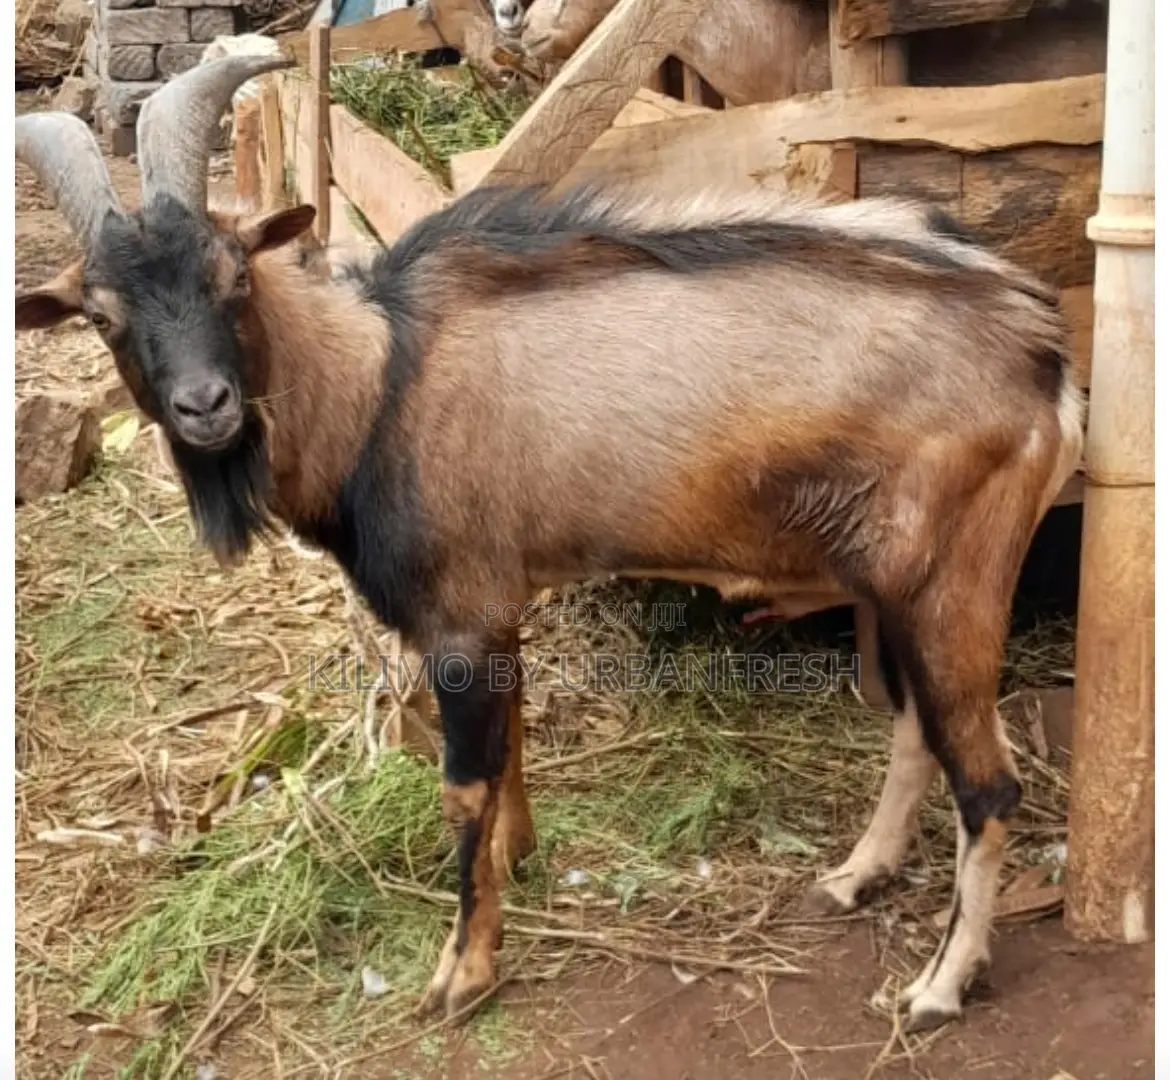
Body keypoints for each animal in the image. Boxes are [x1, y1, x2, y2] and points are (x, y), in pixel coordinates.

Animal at [16, 55, 1084, 1032]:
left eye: (233, 274)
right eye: (102, 316)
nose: (207, 407)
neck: (377, 384)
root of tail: (1042, 357)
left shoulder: (458, 619)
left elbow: (462, 788)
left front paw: (462, 972)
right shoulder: (496, 608)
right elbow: (514, 743)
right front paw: (518, 860)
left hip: (953, 577)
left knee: (988, 782)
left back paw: (938, 986)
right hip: (898, 585)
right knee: (916, 732)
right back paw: (854, 877)